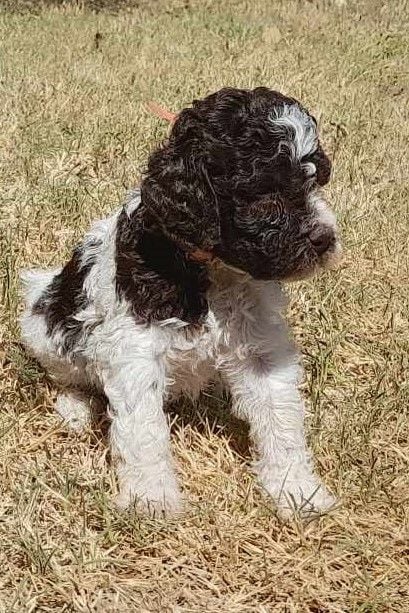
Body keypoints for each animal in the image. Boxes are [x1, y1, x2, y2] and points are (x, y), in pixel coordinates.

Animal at [21, 86, 342, 516]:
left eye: (315, 179)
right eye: (262, 195)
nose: (326, 240)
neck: (214, 272)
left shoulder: (263, 350)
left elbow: (281, 416)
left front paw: (297, 489)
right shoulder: (136, 351)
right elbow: (144, 431)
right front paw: (151, 498)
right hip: (46, 321)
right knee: (71, 373)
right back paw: (76, 406)